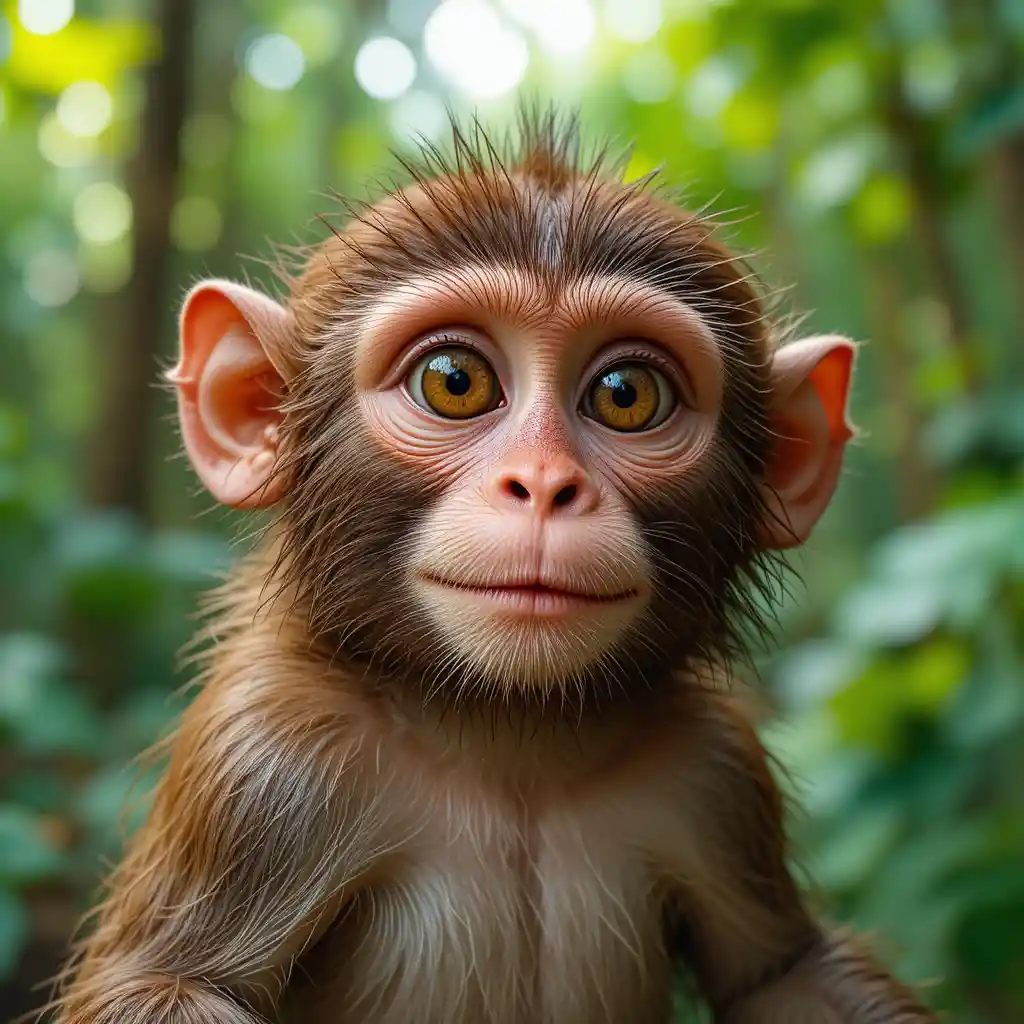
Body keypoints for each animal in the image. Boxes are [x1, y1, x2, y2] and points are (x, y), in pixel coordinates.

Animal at [48, 113, 937, 1024]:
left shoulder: (716, 772)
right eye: (455, 382)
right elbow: (165, 985)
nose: (543, 484)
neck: (507, 739)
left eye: (626, 394)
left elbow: (783, 971)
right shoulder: (264, 760)